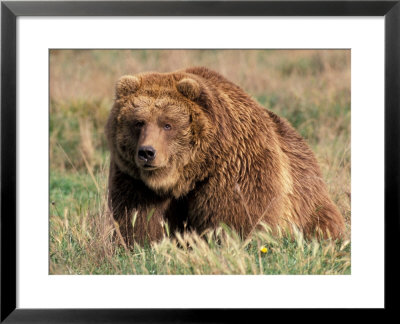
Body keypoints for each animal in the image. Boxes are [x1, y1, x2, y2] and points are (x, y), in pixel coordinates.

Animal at [106, 66, 346, 244]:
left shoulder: (235, 168)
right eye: (138, 122)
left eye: (167, 124)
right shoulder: (134, 180)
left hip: (307, 198)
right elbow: (140, 221)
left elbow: (238, 219)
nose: (147, 152)